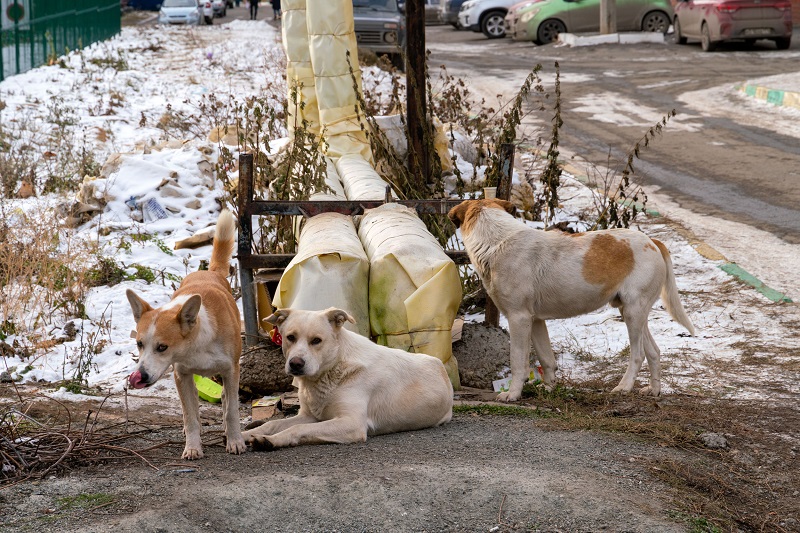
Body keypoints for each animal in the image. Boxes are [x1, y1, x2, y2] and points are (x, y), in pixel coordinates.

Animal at [124, 210, 244, 460]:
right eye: (140, 344)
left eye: (162, 347)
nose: (140, 376)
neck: (197, 344)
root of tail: (209, 272)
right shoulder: (182, 376)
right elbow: (190, 416)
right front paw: (193, 446)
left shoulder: (231, 371)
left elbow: (231, 411)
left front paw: (235, 441)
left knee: (226, 400)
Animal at [241, 306, 454, 450]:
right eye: (290, 337)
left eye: (316, 341)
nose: (295, 363)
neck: (331, 369)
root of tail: (441, 367)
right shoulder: (309, 416)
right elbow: (272, 423)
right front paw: (244, 435)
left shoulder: (351, 424)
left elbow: (298, 429)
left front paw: (272, 441)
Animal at [450, 198, 692, 400]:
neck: (496, 241)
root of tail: (652, 241)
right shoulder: (535, 321)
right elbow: (546, 359)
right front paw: (549, 388)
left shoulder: (519, 319)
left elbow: (517, 362)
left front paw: (513, 394)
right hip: (633, 313)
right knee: (654, 352)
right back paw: (654, 390)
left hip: (633, 313)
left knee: (638, 354)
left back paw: (624, 387)